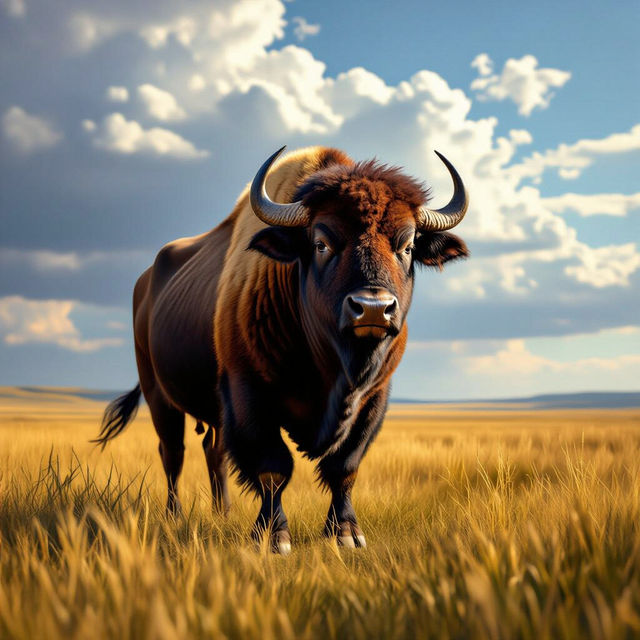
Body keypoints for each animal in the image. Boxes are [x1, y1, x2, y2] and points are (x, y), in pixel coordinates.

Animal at [96, 145, 469, 553]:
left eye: (408, 245)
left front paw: (346, 534)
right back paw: (174, 515)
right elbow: (274, 468)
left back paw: (222, 513)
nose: (373, 308)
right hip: (159, 395)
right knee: (173, 454)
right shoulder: (249, 393)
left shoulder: (373, 399)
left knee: (214, 451)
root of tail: (145, 282)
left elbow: (344, 467)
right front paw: (275, 539)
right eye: (321, 243)